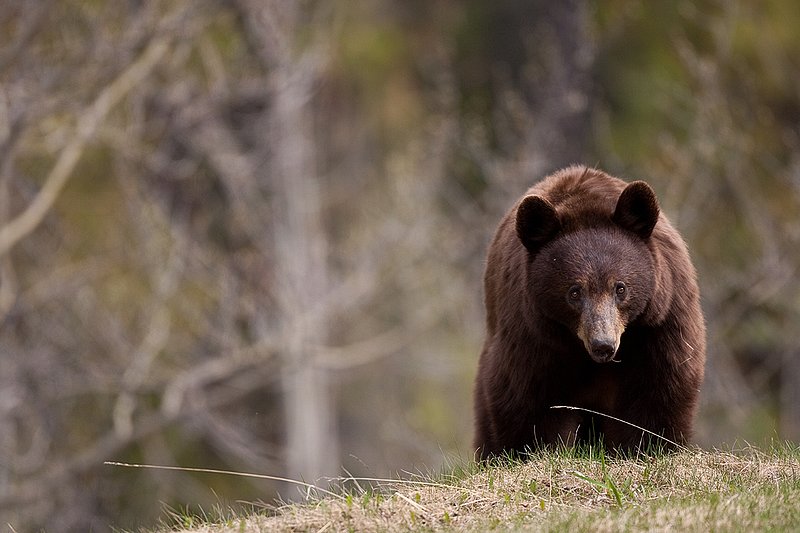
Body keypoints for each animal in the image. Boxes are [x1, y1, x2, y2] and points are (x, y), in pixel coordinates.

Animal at [473, 165, 706, 460]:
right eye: (574, 292)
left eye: (620, 288)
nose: (603, 345)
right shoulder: (533, 335)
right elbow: (530, 398)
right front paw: (535, 450)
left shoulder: (660, 323)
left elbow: (659, 389)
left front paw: (646, 447)